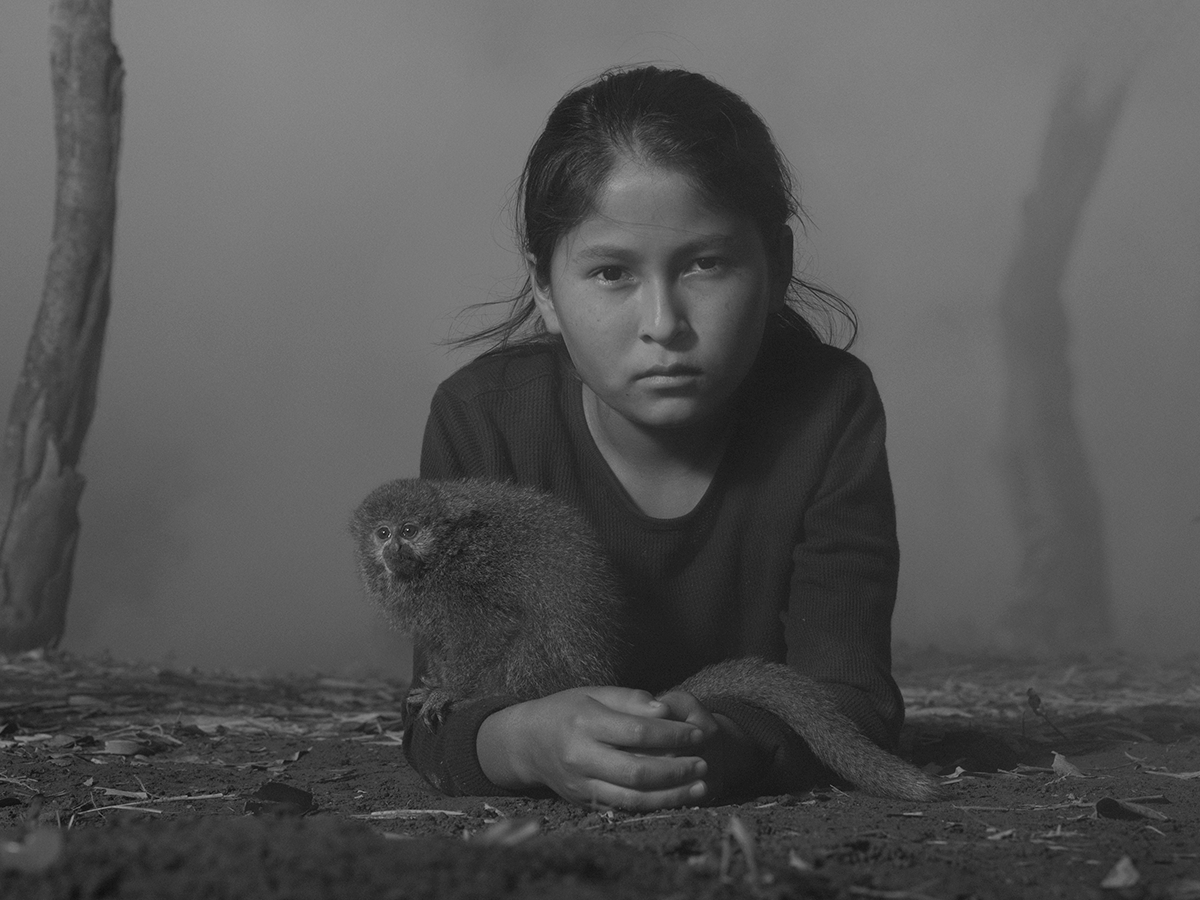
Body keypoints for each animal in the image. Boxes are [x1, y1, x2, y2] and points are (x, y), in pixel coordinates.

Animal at [350, 480, 940, 801]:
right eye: (383, 533)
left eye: (409, 530)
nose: (392, 551)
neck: (438, 559)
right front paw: (436, 684)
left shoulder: (472, 577)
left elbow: (495, 629)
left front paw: (455, 692)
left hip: (543, 667)